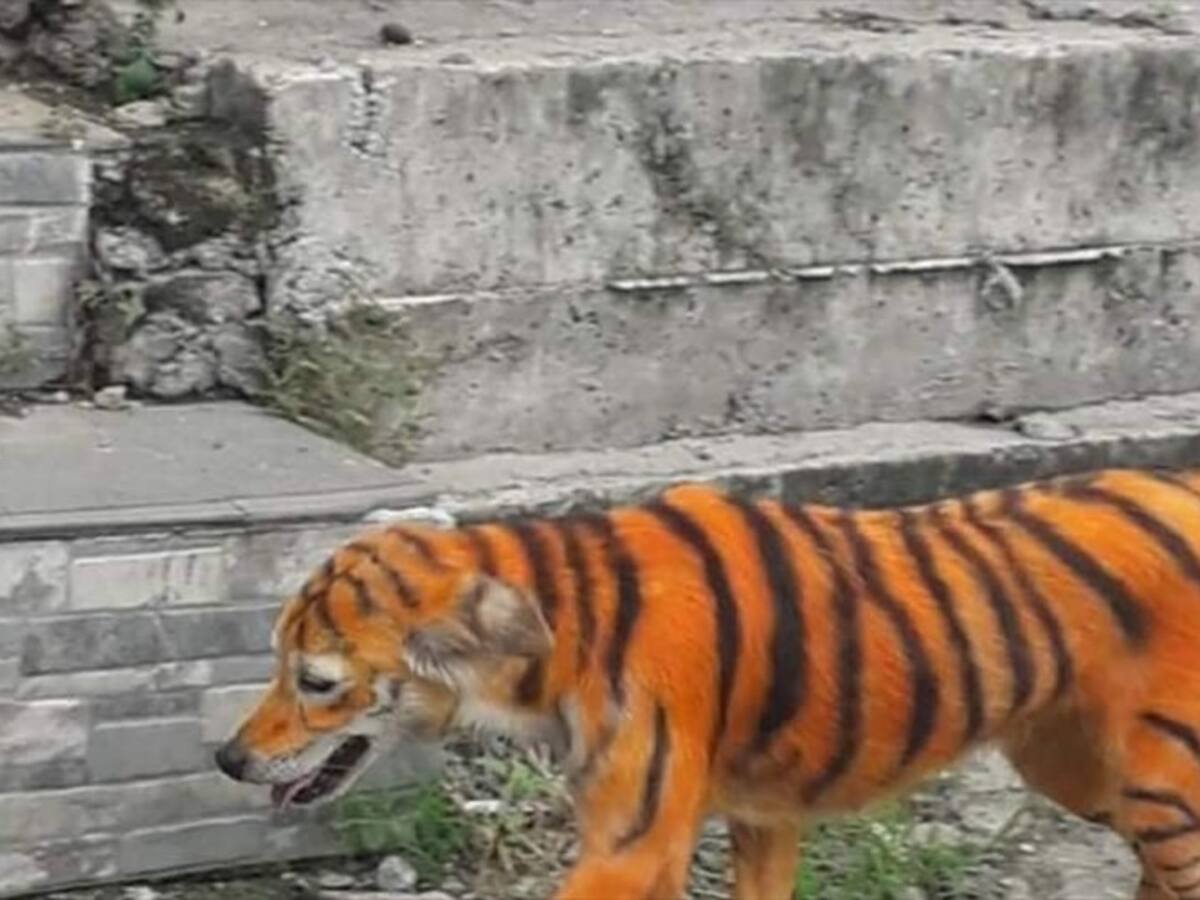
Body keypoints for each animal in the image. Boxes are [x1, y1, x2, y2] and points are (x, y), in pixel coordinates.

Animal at [215, 466, 1200, 899]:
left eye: (315, 680)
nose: (226, 759)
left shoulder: (634, 839)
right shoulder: (756, 816)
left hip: (1160, 788)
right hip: (1075, 768)